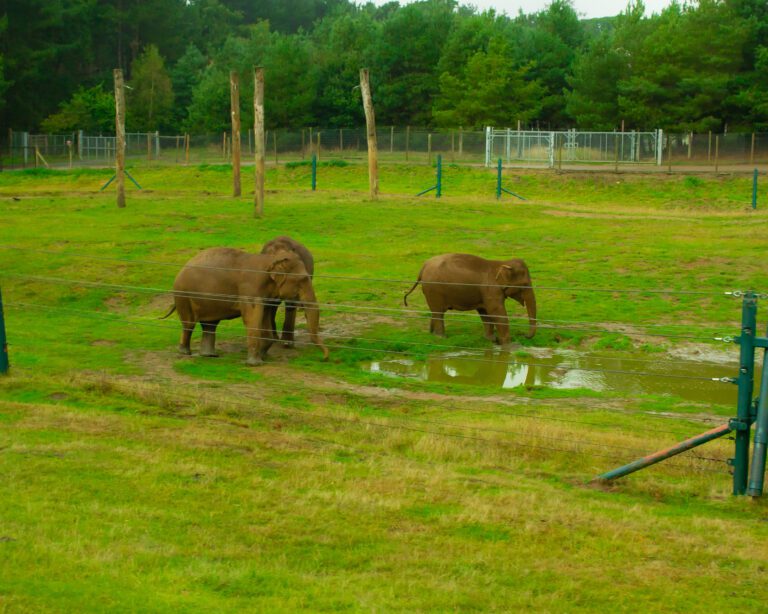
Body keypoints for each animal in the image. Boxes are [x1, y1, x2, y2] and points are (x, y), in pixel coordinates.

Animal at [162, 247, 328, 366]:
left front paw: (263, 356)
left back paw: (210, 355)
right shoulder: (250, 290)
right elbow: (252, 319)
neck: (269, 260)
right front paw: (255, 363)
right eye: (303, 280)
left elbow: (265, 319)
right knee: (189, 324)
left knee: (210, 324)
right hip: (183, 295)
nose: (324, 359)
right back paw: (185, 353)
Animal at [403, 253, 537, 346]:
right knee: (438, 313)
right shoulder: (491, 290)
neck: (501, 264)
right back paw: (441, 337)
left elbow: (485, 313)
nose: (524, 335)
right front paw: (508, 344)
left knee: (435, 312)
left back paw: (431, 334)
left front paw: (491, 340)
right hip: (434, 289)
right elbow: (497, 312)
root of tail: (423, 266)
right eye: (525, 284)